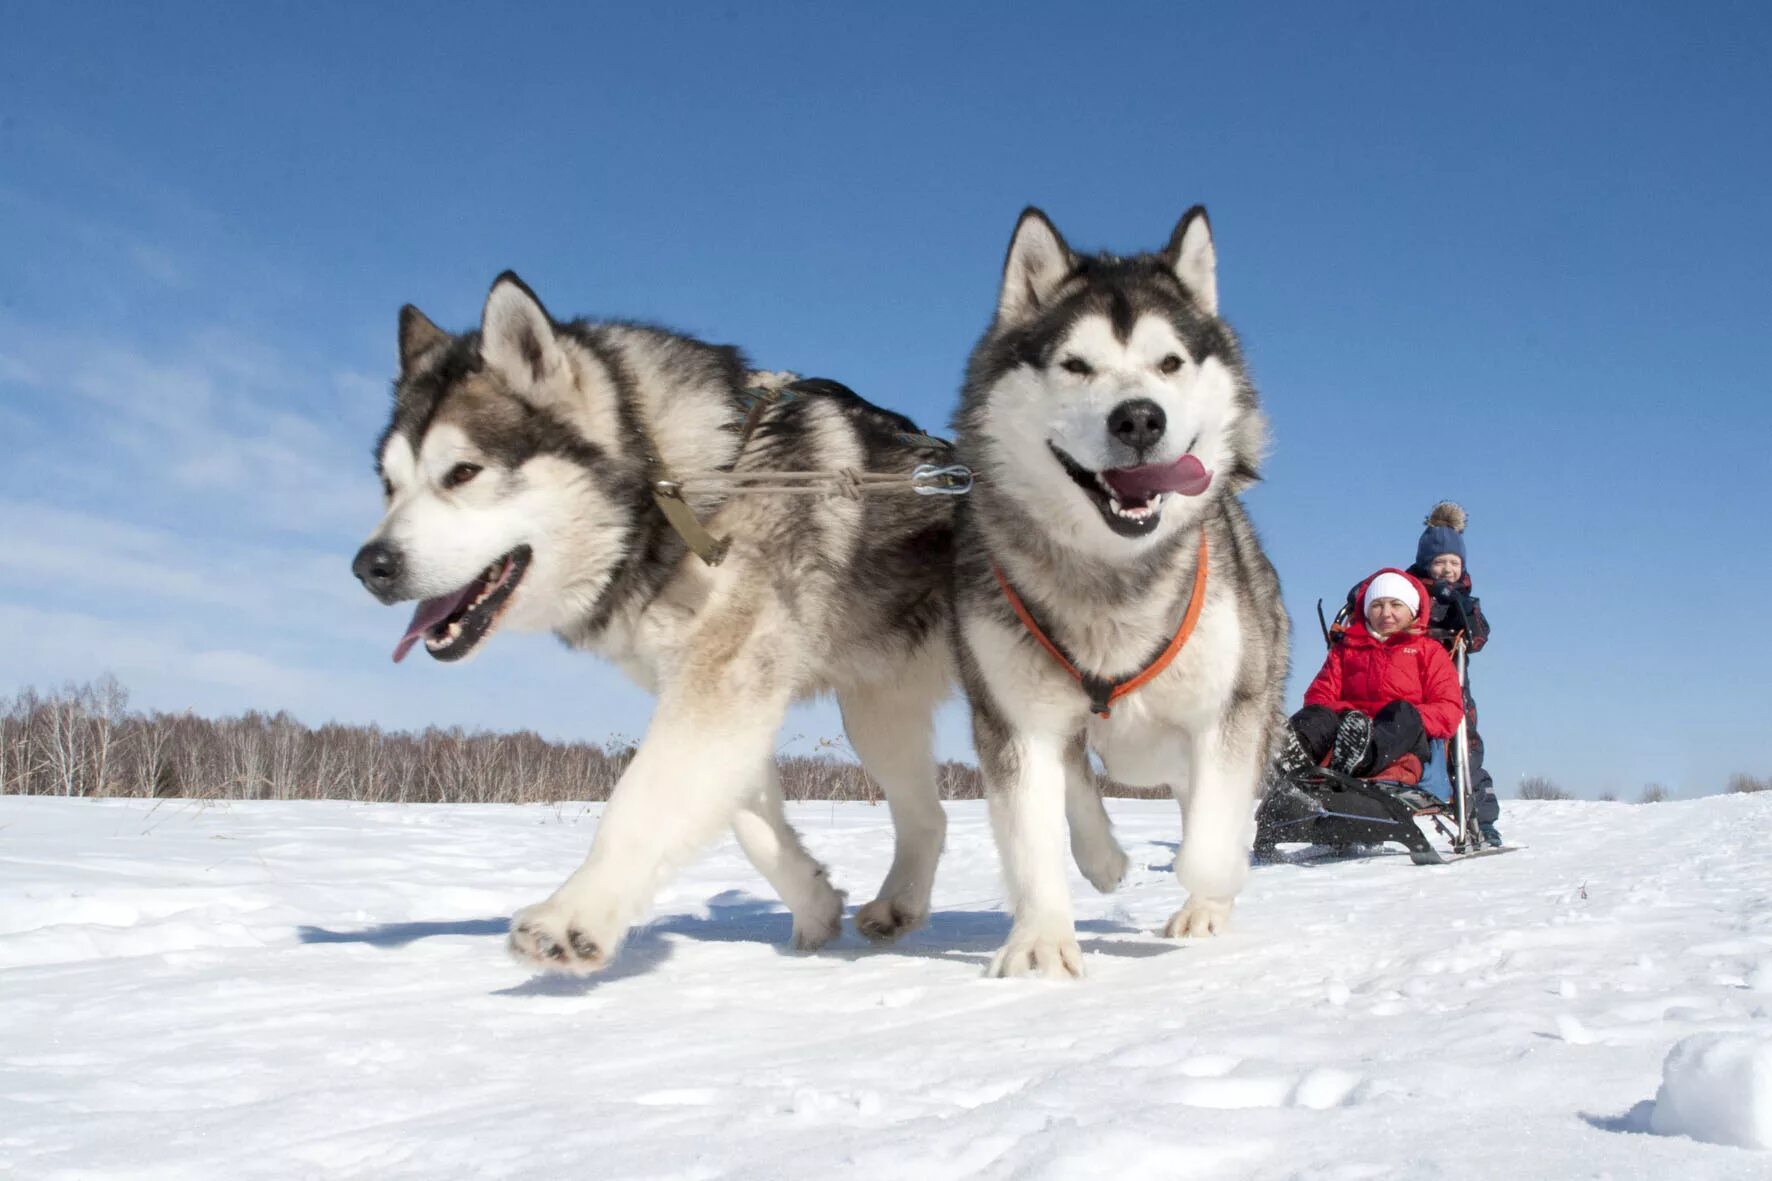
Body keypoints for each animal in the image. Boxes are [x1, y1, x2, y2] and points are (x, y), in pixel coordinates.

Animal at [349, 271, 956, 971]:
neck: (681, 486)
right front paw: (813, 907)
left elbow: (639, 801)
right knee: (929, 814)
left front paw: (573, 915)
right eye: (389, 485)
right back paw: (899, 905)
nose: (370, 566)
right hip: (876, 711)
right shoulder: (715, 695)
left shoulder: (720, 684)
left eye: (463, 472)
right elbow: (748, 823)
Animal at [956, 204, 1290, 971]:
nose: (1139, 417)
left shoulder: (1231, 705)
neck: (1112, 577)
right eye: (1075, 365)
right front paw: (1041, 945)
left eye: (1170, 362)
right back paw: (1103, 857)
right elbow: (1033, 835)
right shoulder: (1011, 716)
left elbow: (1210, 838)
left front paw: (1212, 886)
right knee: (1079, 770)